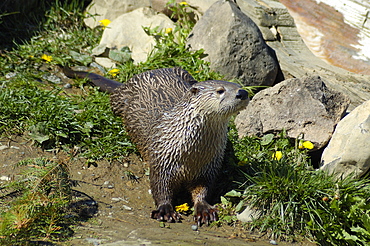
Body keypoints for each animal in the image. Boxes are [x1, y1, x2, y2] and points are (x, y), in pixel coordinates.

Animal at [62, 66, 250, 226]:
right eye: (220, 90)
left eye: (238, 86)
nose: (242, 93)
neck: (192, 154)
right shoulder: (161, 161)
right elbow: (160, 187)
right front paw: (165, 211)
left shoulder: (209, 167)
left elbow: (203, 190)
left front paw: (204, 209)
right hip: (118, 100)